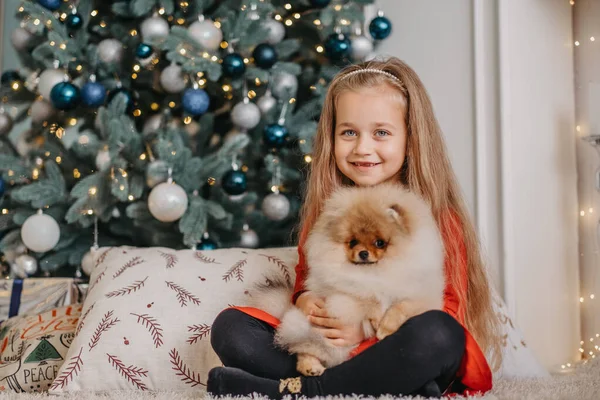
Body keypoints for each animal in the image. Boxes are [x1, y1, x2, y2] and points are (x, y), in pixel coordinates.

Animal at [246, 183, 442, 376]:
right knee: (303, 349)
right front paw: (377, 317)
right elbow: (367, 298)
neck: (376, 272)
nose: (363, 253)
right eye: (353, 242)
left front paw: (385, 328)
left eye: (379, 243)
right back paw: (310, 367)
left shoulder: (423, 295)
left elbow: (401, 307)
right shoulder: (345, 291)